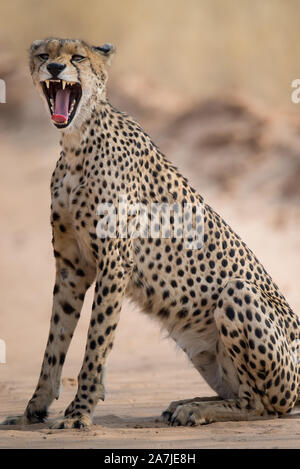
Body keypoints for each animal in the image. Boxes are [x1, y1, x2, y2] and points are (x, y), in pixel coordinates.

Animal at [1, 38, 298, 430]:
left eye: (77, 57)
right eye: (43, 54)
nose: (54, 68)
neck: (78, 140)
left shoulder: (114, 264)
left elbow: (97, 342)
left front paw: (79, 412)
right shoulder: (71, 268)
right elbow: (55, 342)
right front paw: (33, 409)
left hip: (238, 294)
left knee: (261, 404)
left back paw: (196, 410)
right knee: (239, 393)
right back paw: (187, 402)